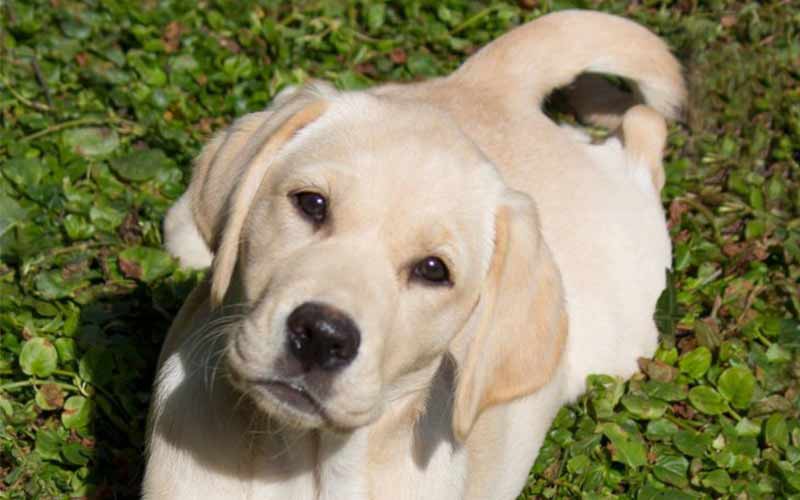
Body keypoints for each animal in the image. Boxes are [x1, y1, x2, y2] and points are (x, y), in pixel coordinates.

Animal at [144, 8, 680, 500]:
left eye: (432, 270)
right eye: (311, 204)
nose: (321, 336)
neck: (304, 464)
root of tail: (487, 87)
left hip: (624, 337)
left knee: (646, 125)